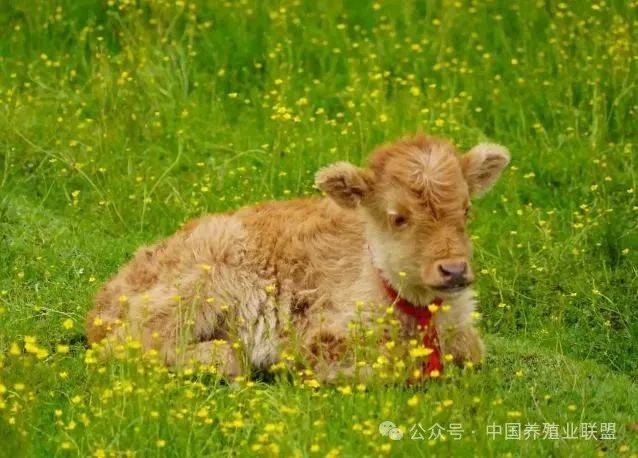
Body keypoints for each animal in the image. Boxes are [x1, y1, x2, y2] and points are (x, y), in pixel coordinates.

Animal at [89, 134, 510, 382]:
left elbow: (472, 351)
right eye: (398, 216)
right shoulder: (325, 338)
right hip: (188, 292)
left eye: (467, 209)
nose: (453, 269)